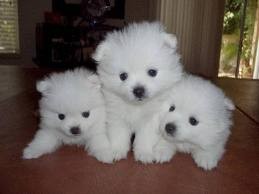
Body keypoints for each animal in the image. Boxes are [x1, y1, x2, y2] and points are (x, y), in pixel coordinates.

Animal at [93, 22, 183, 163]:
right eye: (123, 76)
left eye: (152, 72)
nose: (138, 90)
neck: (136, 106)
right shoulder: (117, 116)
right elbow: (119, 134)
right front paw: (117, 151)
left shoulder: (151, 119)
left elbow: (145, 137)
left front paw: (144, 154)